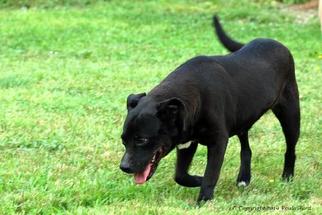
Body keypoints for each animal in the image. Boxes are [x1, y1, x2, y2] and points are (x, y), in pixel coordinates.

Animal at [119, 16, 300, 203]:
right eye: (123, 140)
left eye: (142, 140)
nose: (123, 167)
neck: (193, 99)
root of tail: (275, 42)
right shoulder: (186, 143)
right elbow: (180, 176)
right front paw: (198, 180)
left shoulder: (218, 141)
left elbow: (211, 173)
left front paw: (203, 199)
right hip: (242, 119)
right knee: (246, 149)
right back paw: (244, 178)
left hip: (290, 114)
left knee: (290, 149)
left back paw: (287, 177)